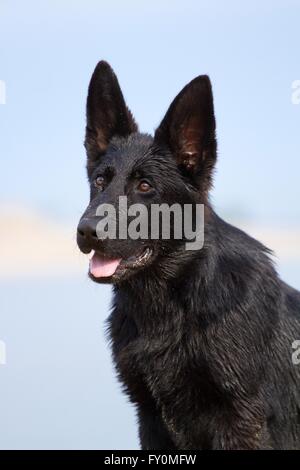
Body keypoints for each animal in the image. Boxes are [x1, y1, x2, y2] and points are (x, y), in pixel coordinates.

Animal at [77, 60, 300, 450]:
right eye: (100, 181)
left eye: (145, 186)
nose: (86, 231)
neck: (172, 303)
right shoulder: (150, 417)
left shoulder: (242, 423)